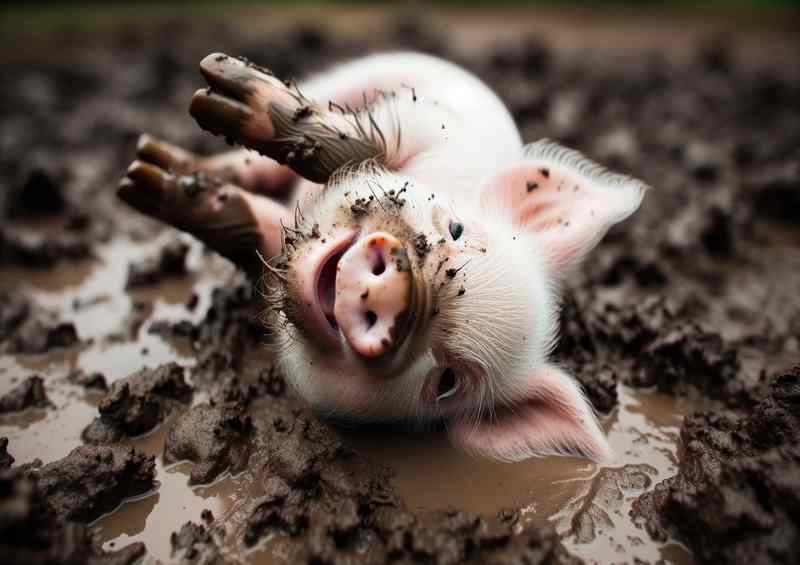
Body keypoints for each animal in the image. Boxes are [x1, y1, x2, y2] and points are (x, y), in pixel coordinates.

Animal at [119, 52, 647, 462]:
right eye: (457, 230)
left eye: (447, 380)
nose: (401, 290)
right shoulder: (436, 129)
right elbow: (371, 145)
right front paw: (147, 173)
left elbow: (257, 224)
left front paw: (151, 189)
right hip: (359, 73)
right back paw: (158, 147)